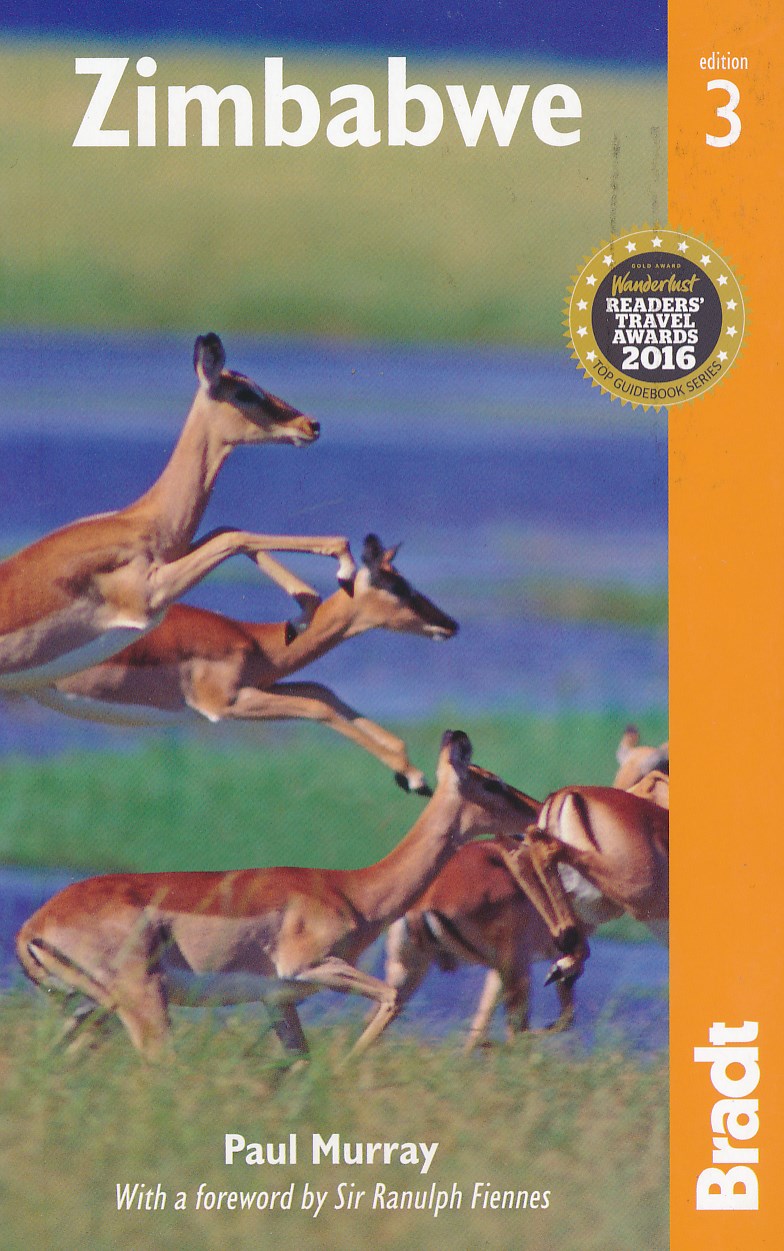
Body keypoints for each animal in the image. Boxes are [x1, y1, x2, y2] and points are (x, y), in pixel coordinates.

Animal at [0, 334, 356, 692]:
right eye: (244, 392)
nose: (310, 424)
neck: (142, 520)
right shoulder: (152, 593)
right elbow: (232, 537)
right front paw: (341, 573)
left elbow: (225, 529)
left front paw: (300, 619)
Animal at [16, 730, 542, 1062]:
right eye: (491, 781)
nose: (537, 810)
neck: (354, 891)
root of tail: (33, 926)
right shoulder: (310, 967)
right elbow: (392, 997)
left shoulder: (278, 1000)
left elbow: (299, 1060)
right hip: (141, 1001)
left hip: (90, 1010)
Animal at [31, 535, 458, 794]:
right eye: (398, 585)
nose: (450, 624)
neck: (256, 641)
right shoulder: (224, 706)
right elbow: (317, 706)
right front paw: (414, 777)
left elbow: (321, 689)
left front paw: (409, 771)